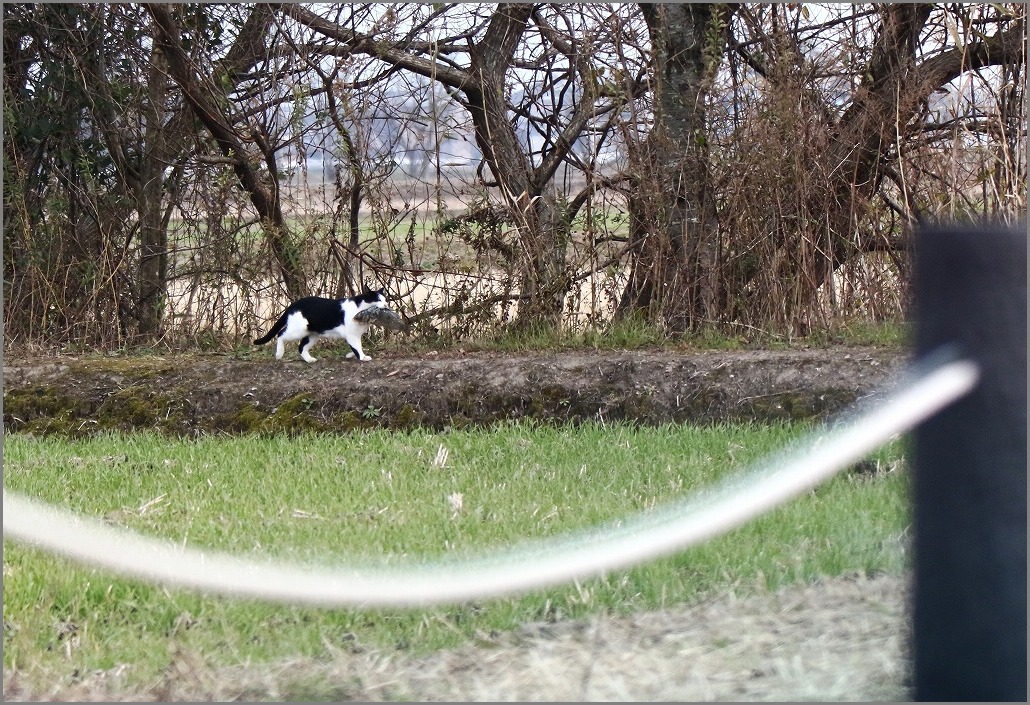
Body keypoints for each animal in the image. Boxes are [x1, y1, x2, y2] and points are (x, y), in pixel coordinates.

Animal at [255, 288, 387, 362]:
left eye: (385, 299)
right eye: (378, 300)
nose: (386, 304)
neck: (360, 309)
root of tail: (293, 305)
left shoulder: (356, 335)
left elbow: (356, 347)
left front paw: (350, 355)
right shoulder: (352, 335)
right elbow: (357, 347)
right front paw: (363, 357)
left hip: (312, 335)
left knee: (301, 347)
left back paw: (309, 360)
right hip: (298, 329)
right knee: (281, 334)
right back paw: (279, 354)